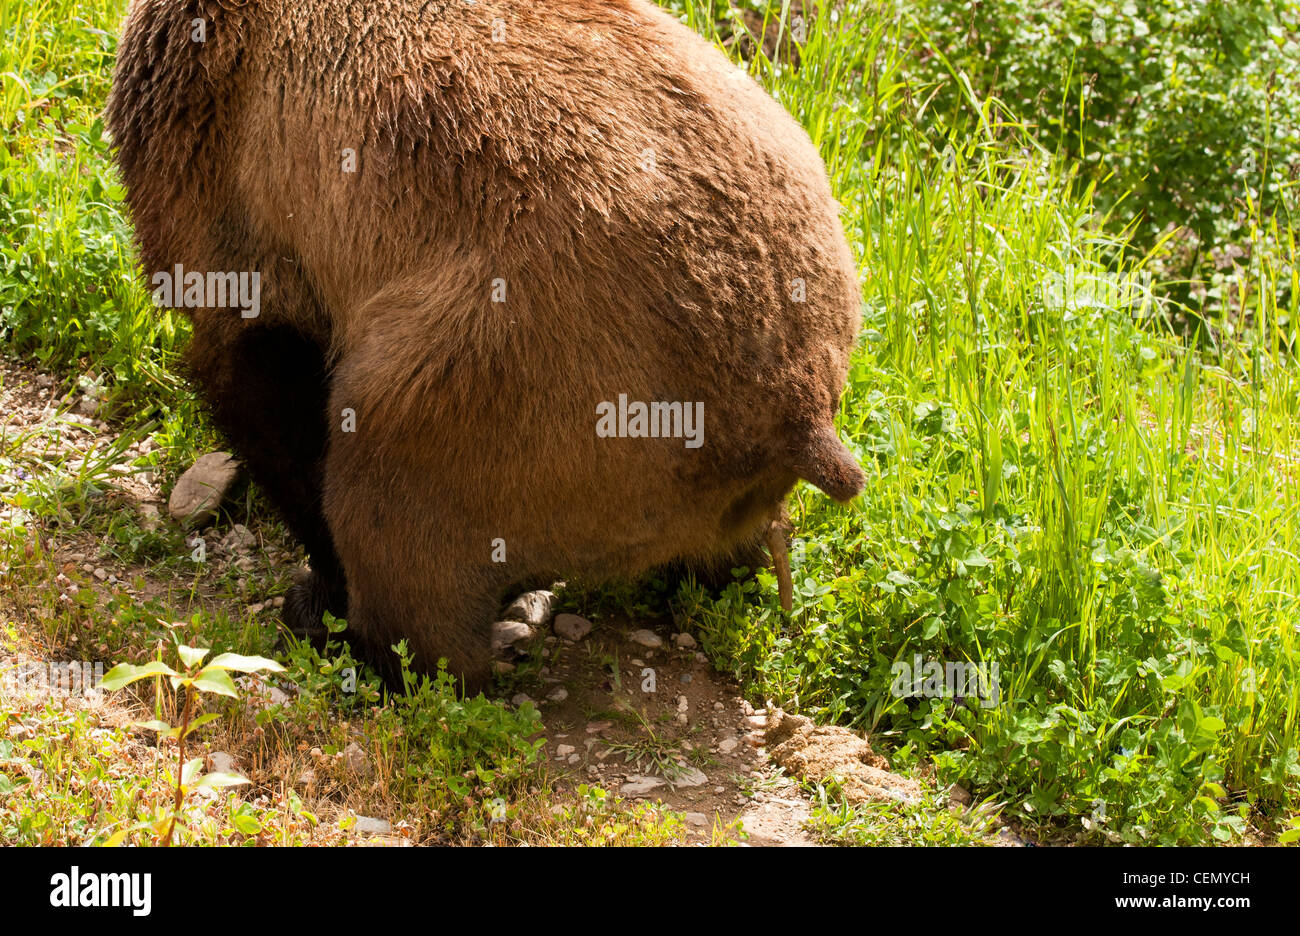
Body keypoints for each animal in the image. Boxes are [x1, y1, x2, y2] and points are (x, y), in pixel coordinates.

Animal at [105, 0, 865, 693]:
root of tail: (793, 407)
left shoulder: (223, 154)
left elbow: (261, 382)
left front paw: (319, 590)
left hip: (508, 376)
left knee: (397, 507)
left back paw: (383, 650)